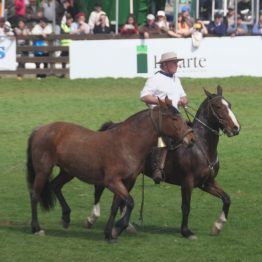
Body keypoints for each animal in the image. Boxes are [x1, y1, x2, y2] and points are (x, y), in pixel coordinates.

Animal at [26, 97, 194, 241]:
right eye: (174, 118)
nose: (191, 139)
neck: (128, 143)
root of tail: (40, 129)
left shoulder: (125, 182)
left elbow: (116, 206)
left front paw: (109, 233)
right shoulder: (112, 182)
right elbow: (130, 202)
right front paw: (118, 228)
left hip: (68, 172)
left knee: (55, 185)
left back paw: (66, 217)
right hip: (43, 171)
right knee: (35, 195)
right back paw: (36, 228)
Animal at [85, 86, 241, 239]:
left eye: (229, 105)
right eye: (218, 106)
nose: (236, 128)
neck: (200, 146)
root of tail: (112, 127)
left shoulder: (206, 183)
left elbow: (227, 199)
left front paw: (218, 225)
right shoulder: (187, 182)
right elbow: (186, 206)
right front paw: (186, 231)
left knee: (121, 199)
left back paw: (127, 226)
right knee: (99, 189)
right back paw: (92, 218)